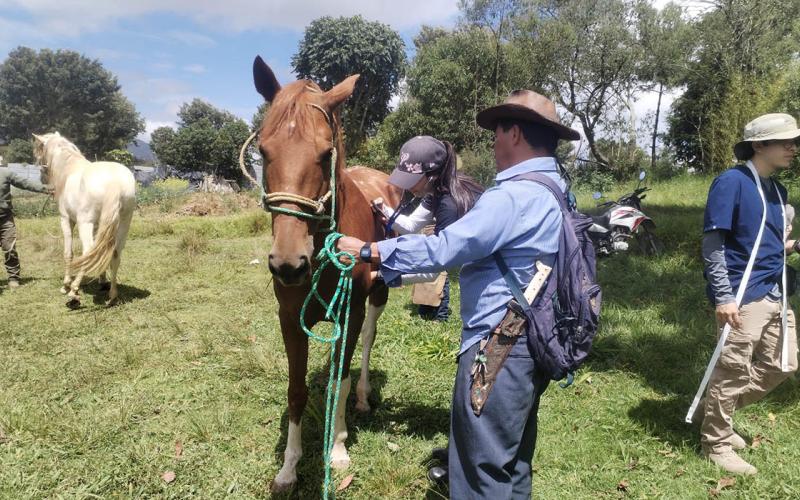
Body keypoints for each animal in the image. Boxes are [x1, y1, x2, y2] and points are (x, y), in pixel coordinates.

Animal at [32, 132, 136, 308]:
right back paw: (112, 296)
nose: (42, 179)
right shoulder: (98, 225)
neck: (68, 170)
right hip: (123, 223)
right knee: (114, 254)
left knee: (87, 251)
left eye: (39, 152)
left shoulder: (66, 220)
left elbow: (69, 252)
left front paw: (66, 285)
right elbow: (100, 254)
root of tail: (115, 183)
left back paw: (74, 292)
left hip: (84, 223)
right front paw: (102, 280)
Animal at [251, 56, 401, 493]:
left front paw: (337, 449)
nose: (288, 263)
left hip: (378, 297)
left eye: (325, 153)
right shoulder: (289, 319)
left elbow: (340, 380)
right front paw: (289, 467)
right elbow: (297, 390)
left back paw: (364, 397)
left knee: (367, 343)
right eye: (263, 151)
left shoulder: (349, 315)